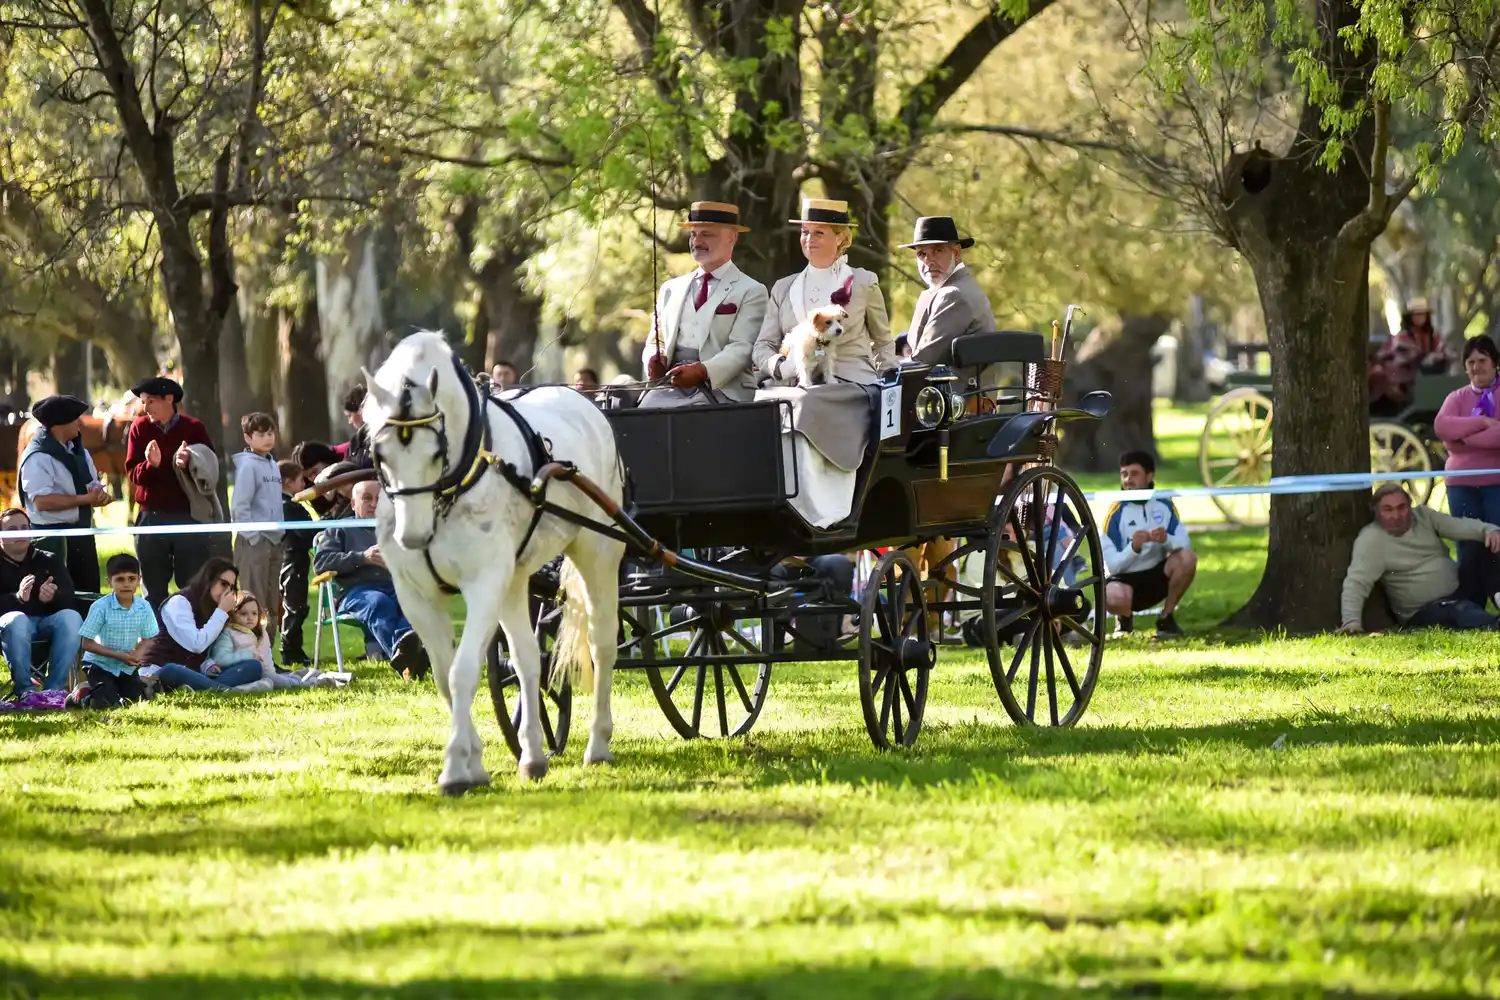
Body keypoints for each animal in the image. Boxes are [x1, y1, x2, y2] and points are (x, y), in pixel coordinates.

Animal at [361, 330, 626, 794]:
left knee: (602, 645)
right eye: (380, 453)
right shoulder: (416, 595)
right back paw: (534, 756)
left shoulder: (483, 583)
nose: (413, 536)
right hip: (515, 578)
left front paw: (455, 768)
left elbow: (462, 672)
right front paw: (474, 763)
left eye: (436, 453)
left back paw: (597, 744)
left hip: (598, 551)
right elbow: (445, 676)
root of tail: (586, 403)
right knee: (527, 660)